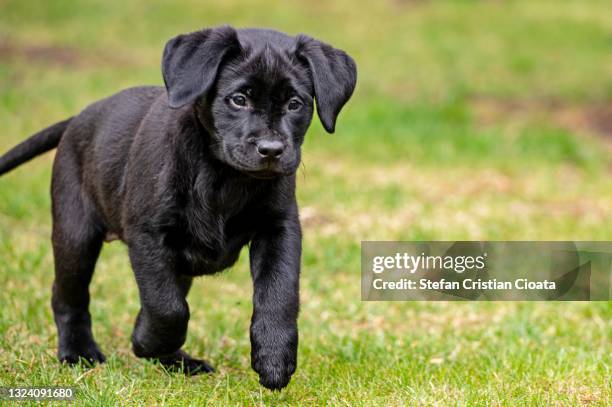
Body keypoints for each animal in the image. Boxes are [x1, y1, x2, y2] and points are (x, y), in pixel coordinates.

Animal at [0, 25, 356, 388]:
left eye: (295, 104)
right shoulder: (149, 236)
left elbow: (278, 293)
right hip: (75, 234)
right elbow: (167, 307)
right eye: (239, 99)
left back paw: (179, 361)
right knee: (68, 296)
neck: (224, 177)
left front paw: (275, 358)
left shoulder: (279, 229)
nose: (271, 150)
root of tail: (78, 118)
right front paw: (145, 341)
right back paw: (79, 352)